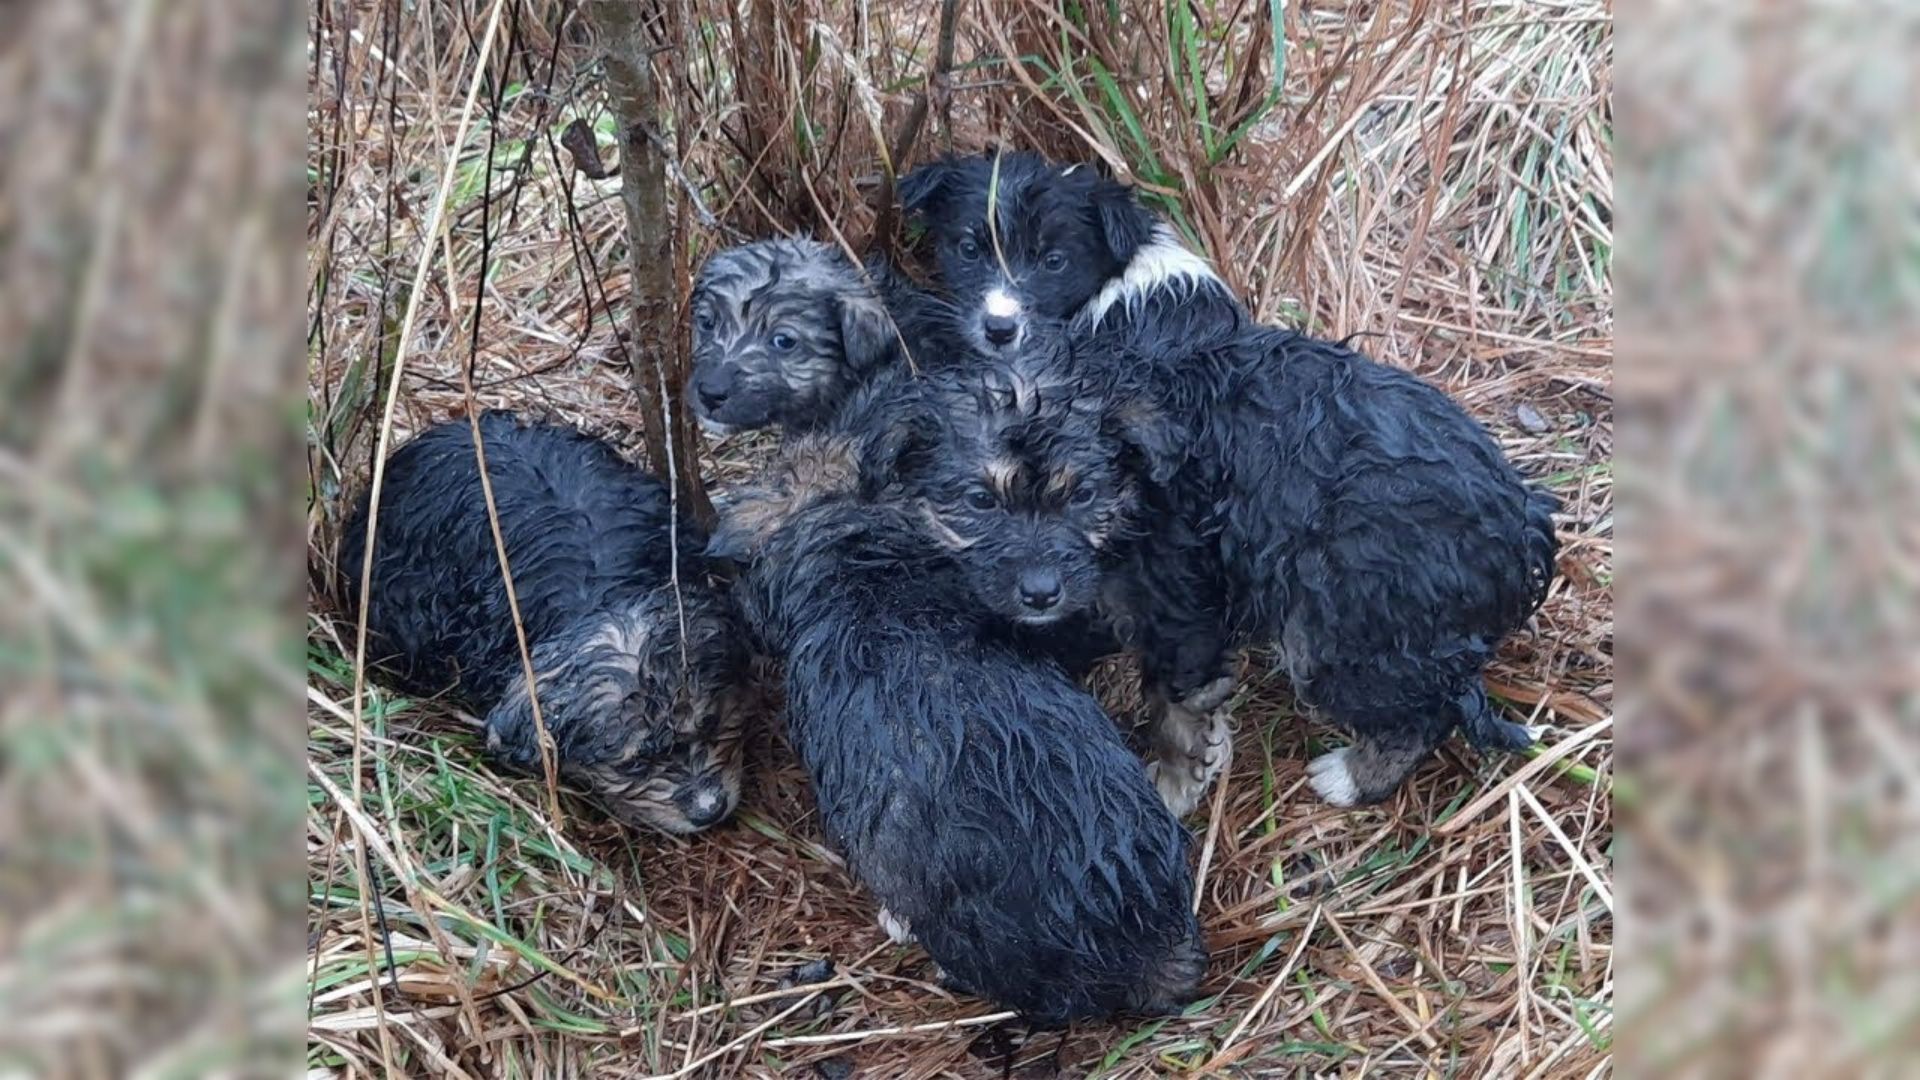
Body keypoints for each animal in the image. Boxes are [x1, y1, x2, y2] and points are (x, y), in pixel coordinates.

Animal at [898, 148, 1559, 807]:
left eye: (1053, 260)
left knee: (1422, 715)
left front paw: (1175, 785)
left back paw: (1349, 778)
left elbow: (1177, 704)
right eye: (967, 248)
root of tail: (1524, 523)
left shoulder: (1176, 587)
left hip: (1348, 633)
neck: (1128, 289)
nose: (999, 328)